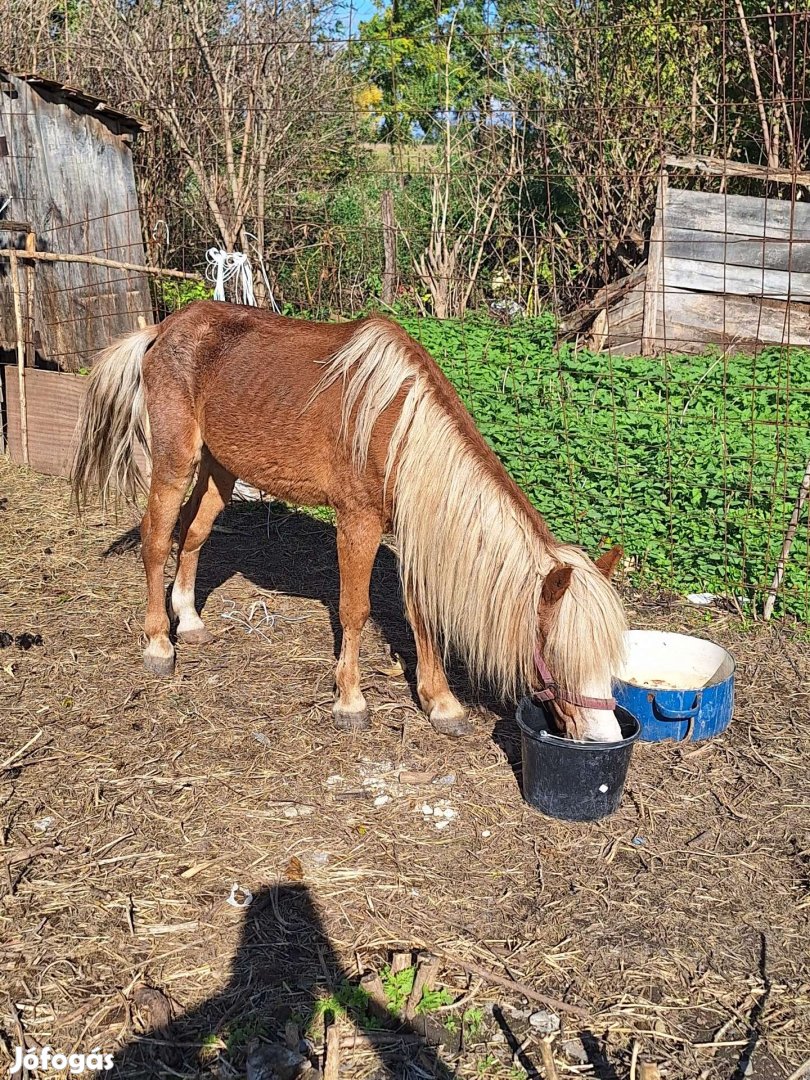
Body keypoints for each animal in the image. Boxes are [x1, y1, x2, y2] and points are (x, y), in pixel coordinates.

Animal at [72, 304, 626, 743]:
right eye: (560, 657)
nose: (605, 736)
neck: (399, 430)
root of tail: (165, 328)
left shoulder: (412, 531)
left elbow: (421, 614)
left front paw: (441, 703)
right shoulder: (357, 522)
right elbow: (354, 610)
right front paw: (351, 701)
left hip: (219, 468)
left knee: (193, 535)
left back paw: (188, 620)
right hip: (175, 463)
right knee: (156, 539)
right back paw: (159, 644)